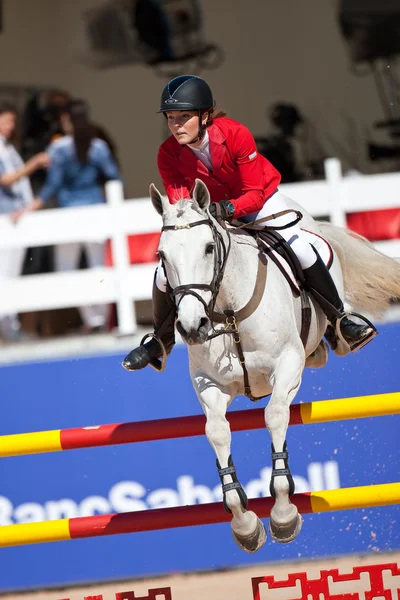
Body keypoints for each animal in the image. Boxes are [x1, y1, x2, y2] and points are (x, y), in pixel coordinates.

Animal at [148, 178, 398, 552]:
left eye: (208, 248)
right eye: (162, 256)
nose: (192, 328)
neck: (228, 309)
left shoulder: (288, 366)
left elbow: (275, 416)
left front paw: (283, 515)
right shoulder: (209, 384)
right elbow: (217, 431)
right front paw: (245, 524)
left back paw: (348, 329)